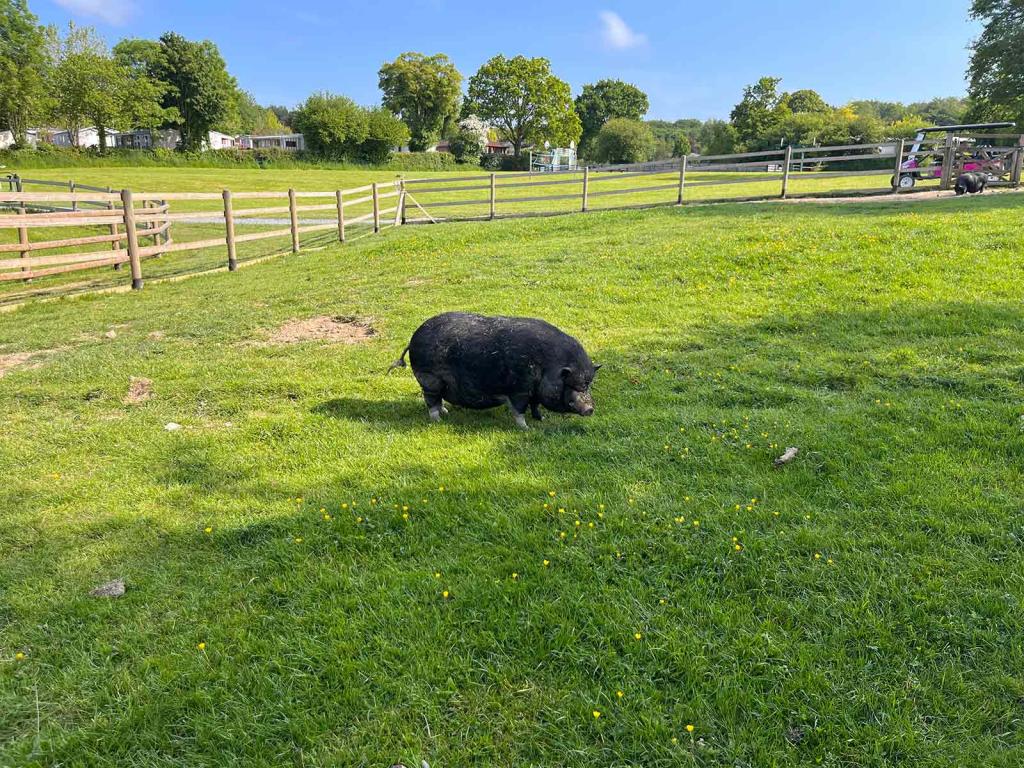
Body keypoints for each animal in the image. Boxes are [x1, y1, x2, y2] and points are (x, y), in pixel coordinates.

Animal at [389, 315, 598, 430]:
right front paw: (526, 428)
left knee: (438, 400)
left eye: (587, 384)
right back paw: (439, 420)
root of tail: (413, 339)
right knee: (431, 401)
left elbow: (535, 406)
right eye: (572, 384)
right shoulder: (520, 390)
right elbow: (519, 410)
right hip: (429, 380)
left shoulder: (533, 392)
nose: (589, 409)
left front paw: (541, 419)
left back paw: (446, 412)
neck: (546, 366)